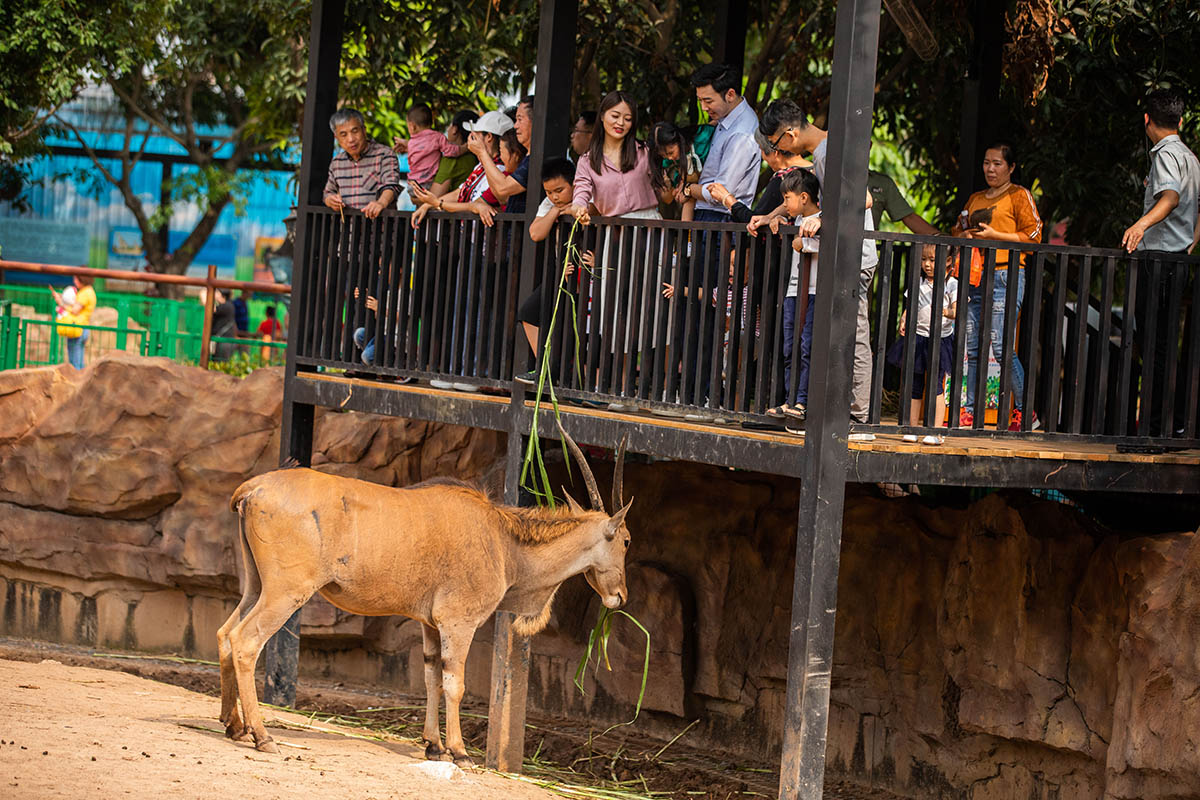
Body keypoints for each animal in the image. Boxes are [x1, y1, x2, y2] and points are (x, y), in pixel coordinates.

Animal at [218, 429, 628, 767]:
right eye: (625, 540)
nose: (620, 596)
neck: (503, 540)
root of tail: (252, 489)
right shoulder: (458, 622)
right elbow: (454, 683)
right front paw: (459, 752)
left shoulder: (430, 625)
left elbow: (431, 677)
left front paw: (434, 746)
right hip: (286, 593)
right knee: (245, 641)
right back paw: (263, 736)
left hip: (256, 587)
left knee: (225, 634)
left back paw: (233, 726)